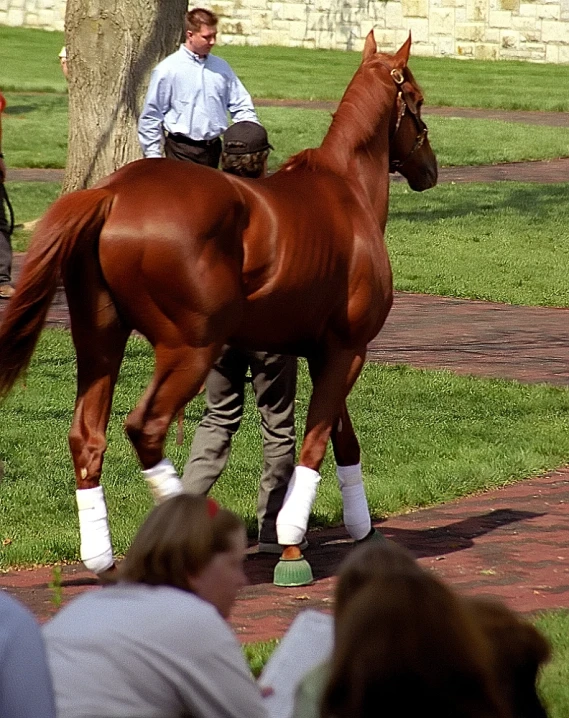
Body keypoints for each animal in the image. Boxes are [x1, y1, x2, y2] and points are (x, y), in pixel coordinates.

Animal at [0, 35, 438, 584]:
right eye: (416, 99)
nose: (431, 169)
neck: (346, 192)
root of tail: (112, 192)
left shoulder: (326, 351)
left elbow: (343, 439)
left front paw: (361, 530)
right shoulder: (349, 348)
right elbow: (316, 443)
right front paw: (292, 543)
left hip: (99, 339)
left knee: (87, 435)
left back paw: (103, 559)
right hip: (190, 348)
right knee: (145, 428)